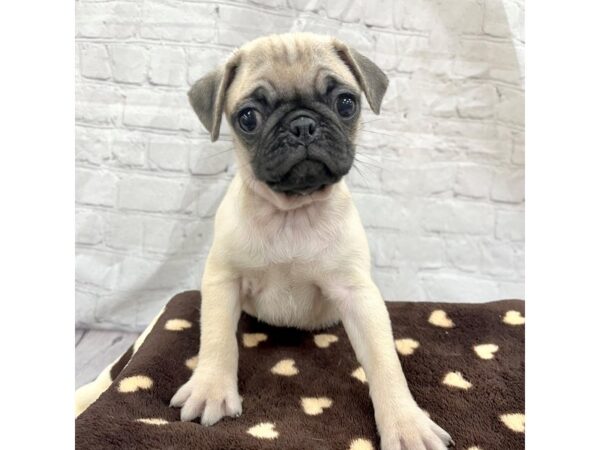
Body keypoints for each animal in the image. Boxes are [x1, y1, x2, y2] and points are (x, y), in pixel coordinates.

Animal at [166, 32, 452, 450]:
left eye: (346, 103)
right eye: (248, 117)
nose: (303, 125)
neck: (293, 212)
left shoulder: (357, 294)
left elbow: (385, 360)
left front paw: (405, 423)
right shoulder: (223, 279)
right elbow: (218, 339)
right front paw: (210, 389)